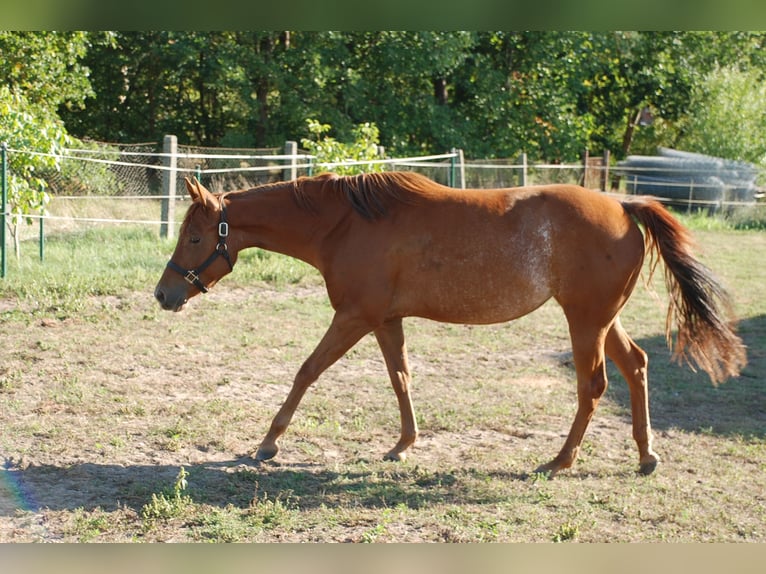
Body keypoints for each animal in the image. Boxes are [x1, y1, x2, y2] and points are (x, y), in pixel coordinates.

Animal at [154, 171, 746, 477]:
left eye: (195, 237)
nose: (164, 294)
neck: (345, 223)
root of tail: (624, 204)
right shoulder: (385, 320)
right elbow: (401, 379)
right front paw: (403, 445)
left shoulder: (353, 317)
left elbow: (306, 372)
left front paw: (268, 443)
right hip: (603, 318)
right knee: (637, 367)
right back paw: (645, 456)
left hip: (585, 322)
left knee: (593, 385)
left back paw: (559, 461)